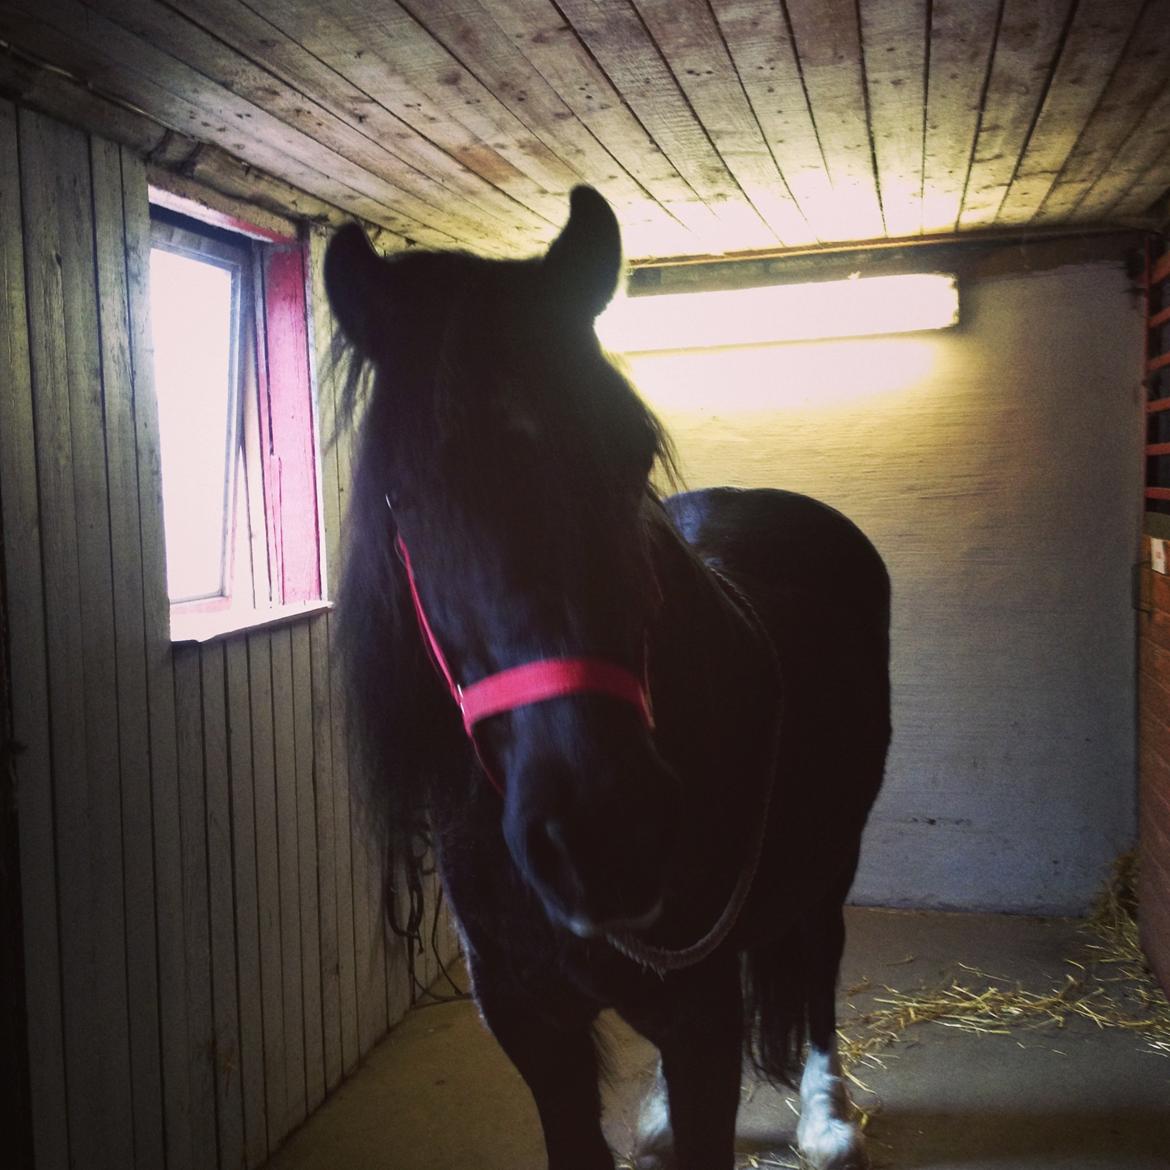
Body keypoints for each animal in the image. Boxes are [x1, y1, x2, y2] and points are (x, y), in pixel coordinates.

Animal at [324, 186, 891, 1170]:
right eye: (401, 495)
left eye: (629, 453)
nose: (605, 835)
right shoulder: (531, 1024)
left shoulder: (703, 1017)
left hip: (835, 851)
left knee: (819, 948)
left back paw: (826, 1116)